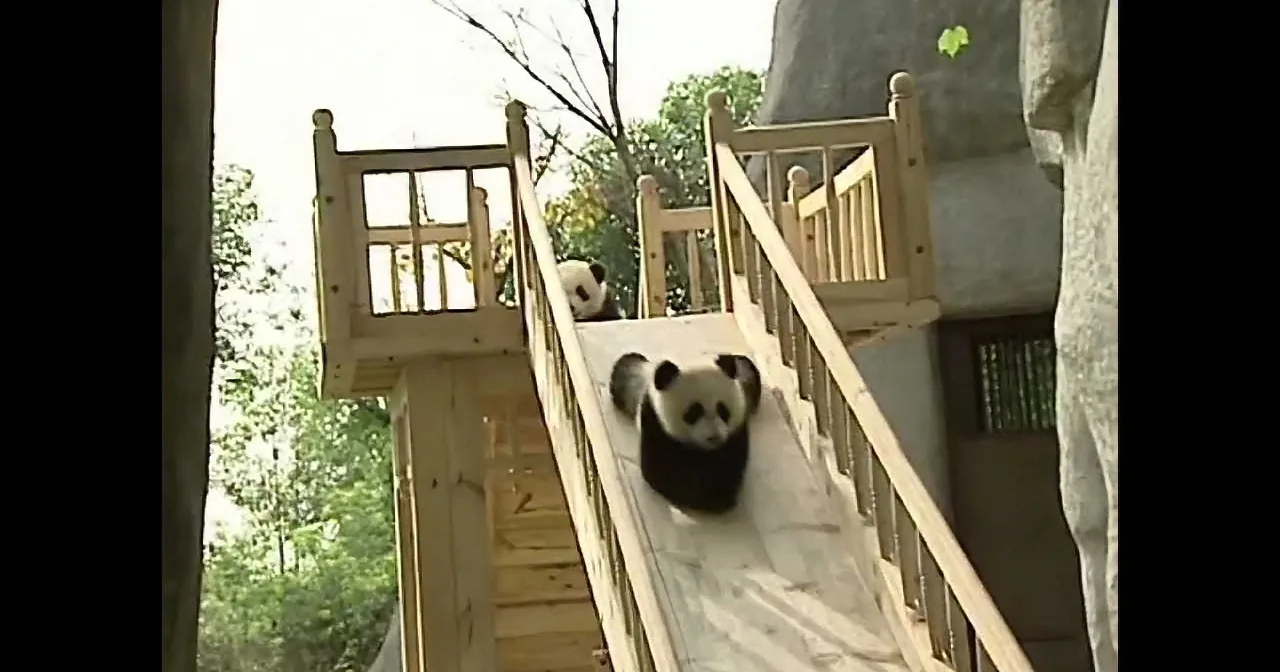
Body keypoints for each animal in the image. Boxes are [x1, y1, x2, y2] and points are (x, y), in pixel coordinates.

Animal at [608, 351, 762, 514]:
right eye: (693, 412)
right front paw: (710, 497)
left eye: (722, 410)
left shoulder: (737, 429)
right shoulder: (653, 419)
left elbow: (731, 464)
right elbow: (663, 470)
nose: (714, 437)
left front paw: (720, 492)